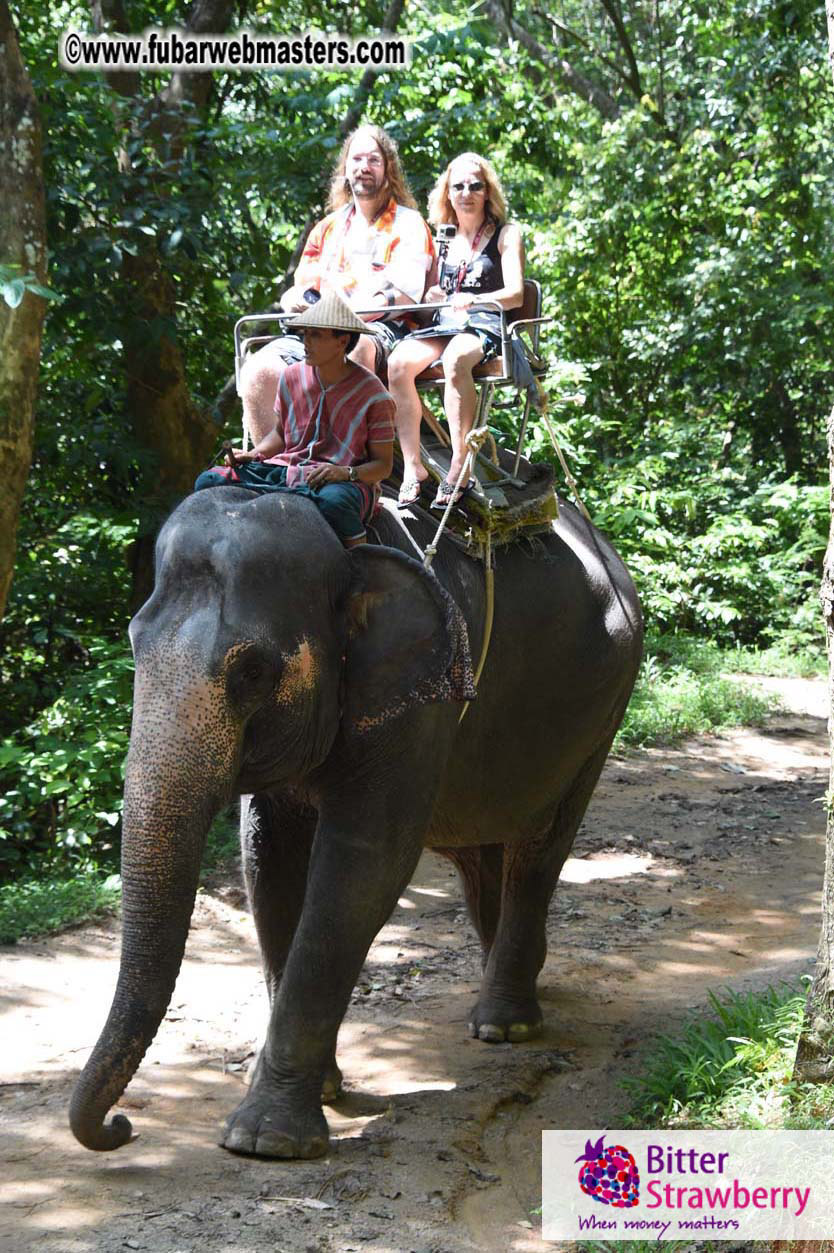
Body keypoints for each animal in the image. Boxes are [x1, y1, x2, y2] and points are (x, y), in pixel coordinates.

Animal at [69, 486, 642, 1159]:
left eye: (252, 671)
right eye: (134, 644)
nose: (120, 1126)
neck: (347, 549)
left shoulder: (419, 692)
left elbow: (363, 862)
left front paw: (266, 1140)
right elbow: (267, 862)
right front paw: (319, 1092)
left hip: (604, 708)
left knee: (539, 845)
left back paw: (505, 1024)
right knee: (484, 853)